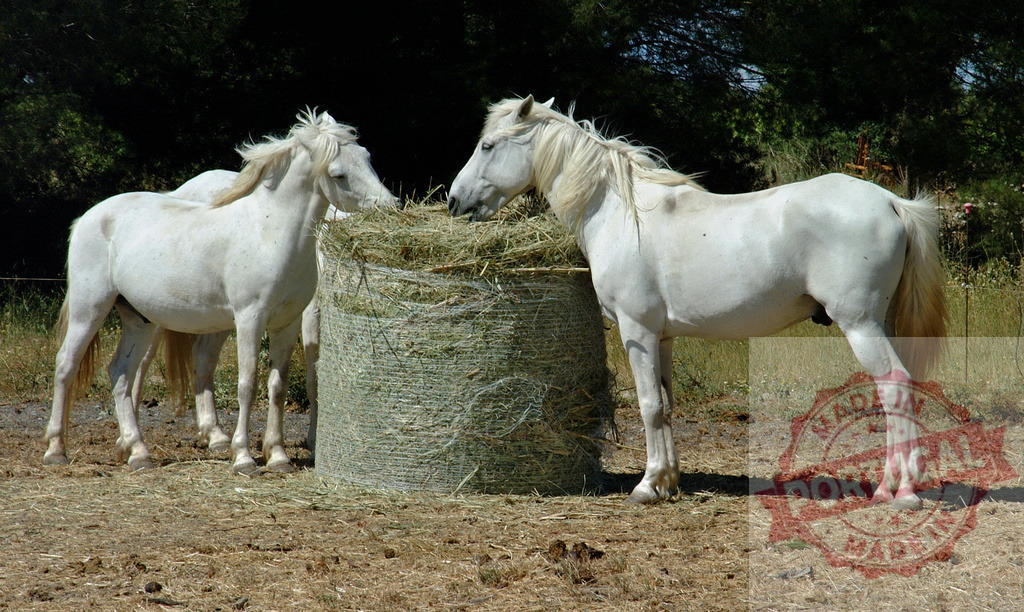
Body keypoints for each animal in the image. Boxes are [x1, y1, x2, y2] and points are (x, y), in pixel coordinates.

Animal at [131, 169, 396, 455]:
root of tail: (180, 191)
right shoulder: (310, 314)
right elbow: (314, 379)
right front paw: (313, 441)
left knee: (202, 358)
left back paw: (215, 435)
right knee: (142, 362)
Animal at [448, 96, 947, 508]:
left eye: (488, 146)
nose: (454, 201)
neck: (617, 211)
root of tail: (890, 201)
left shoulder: (636, 331)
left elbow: (648, 406)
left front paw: (646, 486)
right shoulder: (663, 337)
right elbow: (666, 405)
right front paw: (668, 482)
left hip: (860, 324)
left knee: (894, 387)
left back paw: (901, 491)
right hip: (880, 323)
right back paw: (890, 485)